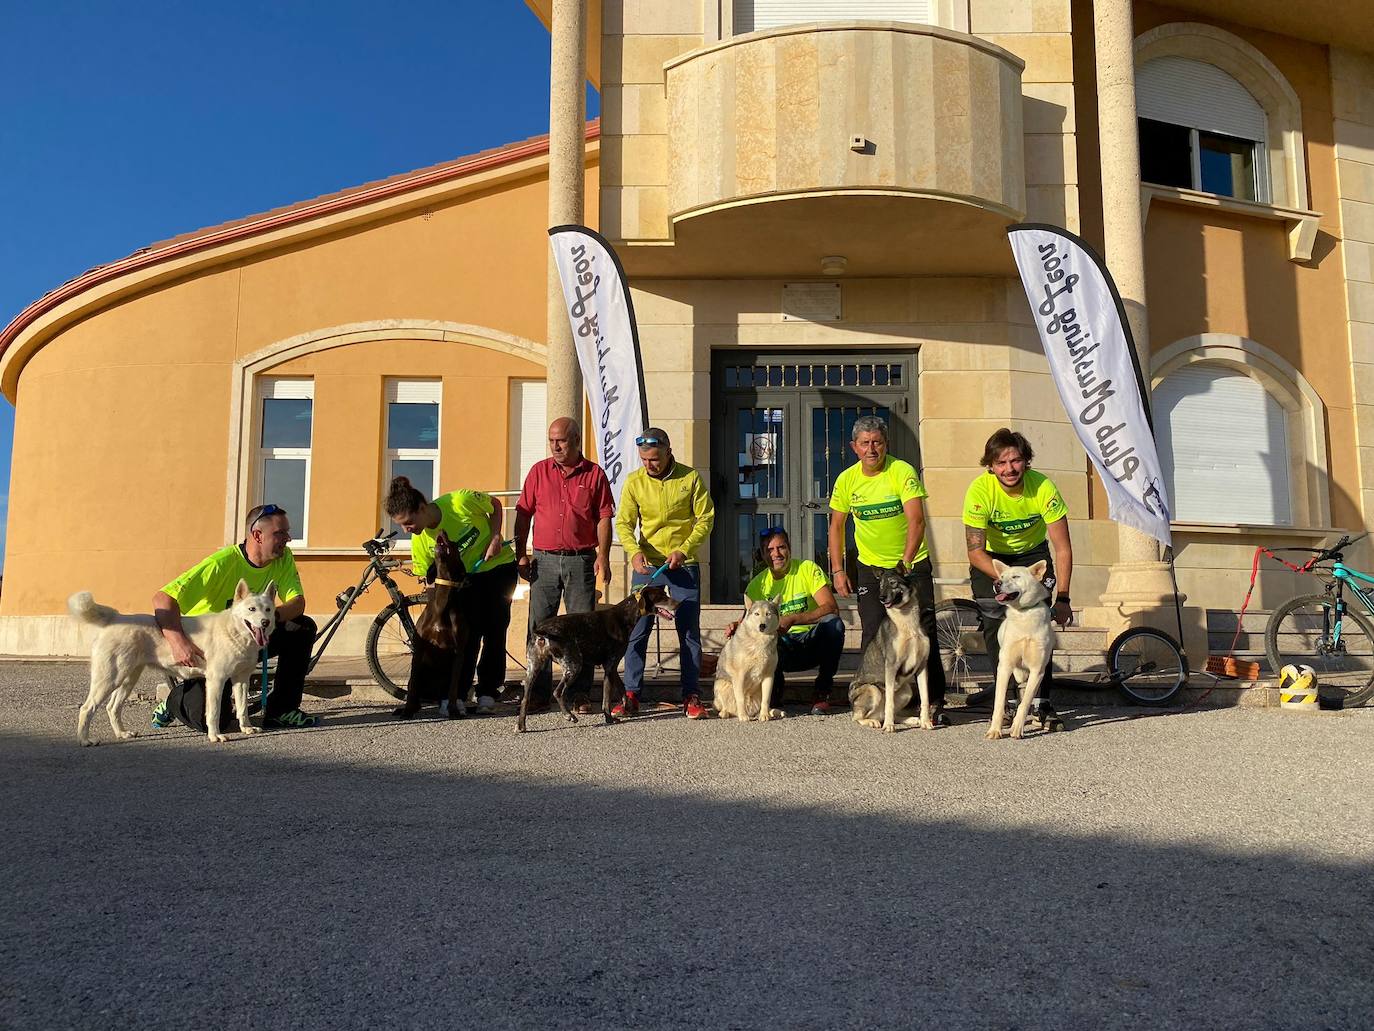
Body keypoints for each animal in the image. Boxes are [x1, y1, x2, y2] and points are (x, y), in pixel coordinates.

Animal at [69, 582, 276, 742]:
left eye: (268, 609)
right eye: (251, 609)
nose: (265, 622)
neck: (234, 631)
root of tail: (116, 618)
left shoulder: (242, 679)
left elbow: (242, 708)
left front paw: (246, 728)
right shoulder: (216, 680)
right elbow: (214, 712)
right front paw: (215, 736)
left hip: (128, 680)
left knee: (112, 707)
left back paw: (122, 733)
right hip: (110, 679)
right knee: (87, 708)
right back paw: (85, 740)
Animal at [983, 560, 1055, 736]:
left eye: (1016, 576)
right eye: (1002, 576)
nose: (996, 583)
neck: (1024, 613)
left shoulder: (1037, 670)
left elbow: (1026, 701)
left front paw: (1017, 727)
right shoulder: (1004, 667)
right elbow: (999, 702)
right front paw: (995, 730)